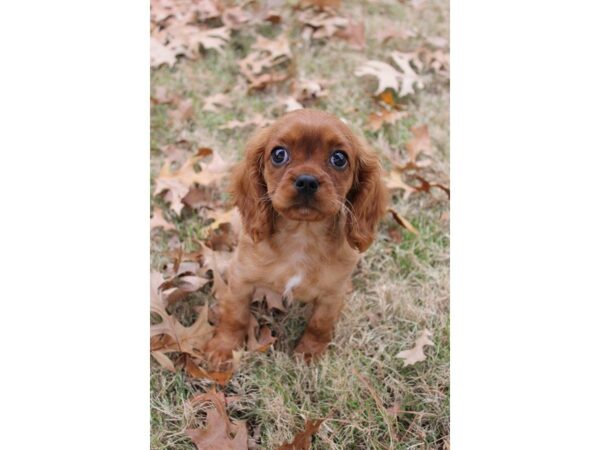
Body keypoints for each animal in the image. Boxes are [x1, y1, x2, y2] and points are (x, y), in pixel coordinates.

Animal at [204, 109, 386, 366]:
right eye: (279, 154)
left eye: (339, 158)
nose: (307, 181)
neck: (302, 235)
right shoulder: (241, 279)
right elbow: (234, 315)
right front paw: (224, 348)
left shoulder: (332, 296)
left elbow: (320, 325)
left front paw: (309, 354)